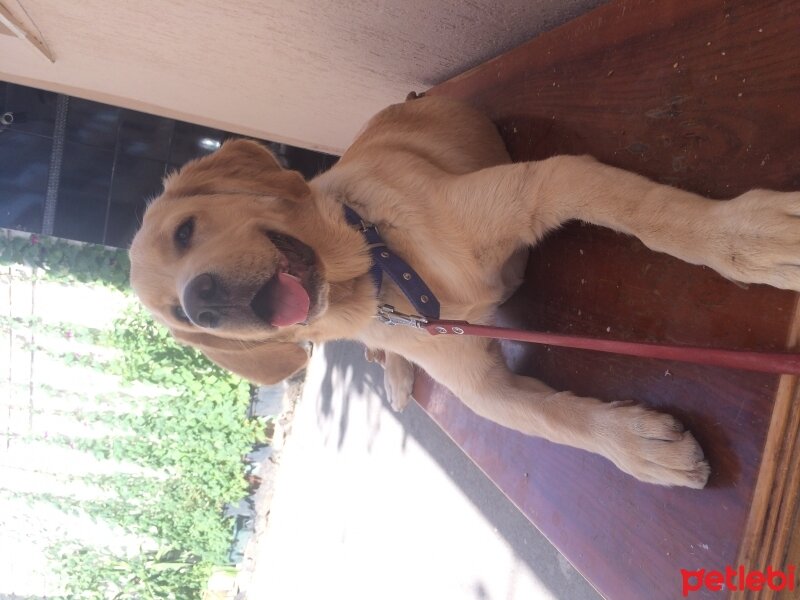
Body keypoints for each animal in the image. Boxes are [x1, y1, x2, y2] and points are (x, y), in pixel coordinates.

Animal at [130, 95, 800, 488]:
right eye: (177, 319)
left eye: (185, 231)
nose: (203, 305)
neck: (383, 274)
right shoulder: (479, 381)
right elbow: (553, 419)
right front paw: (637, 446)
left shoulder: (545, 181)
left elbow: (660, 216)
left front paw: (750, 235)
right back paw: (393, 372)